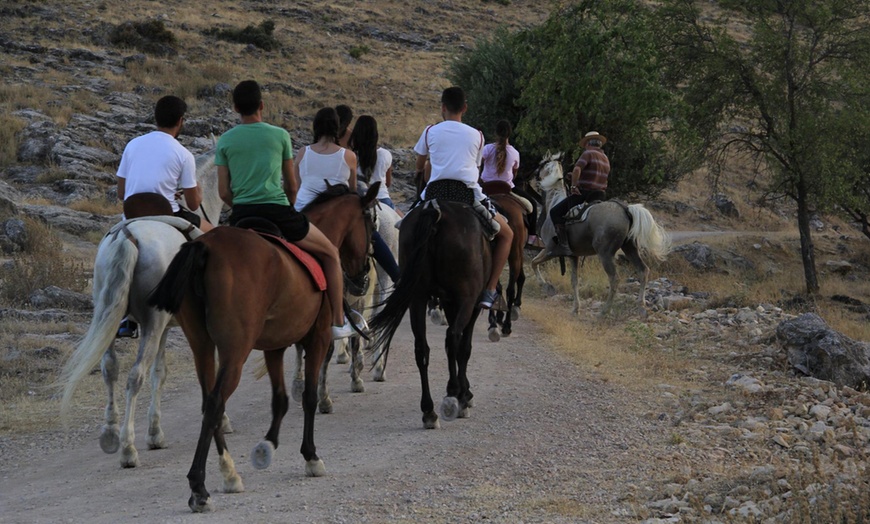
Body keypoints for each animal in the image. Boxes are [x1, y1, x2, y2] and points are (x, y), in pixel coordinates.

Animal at [59, 149, 225, 468]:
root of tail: (128, 235)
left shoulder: (164, 329)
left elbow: (159, 373)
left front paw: (155, 433)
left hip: (114, 316)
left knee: (110, 368)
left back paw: (111, 435)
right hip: (153, 323)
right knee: (134, 376)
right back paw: (127, 448)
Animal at [147, 184, 378, 512]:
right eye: (370, 223)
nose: (362, 279)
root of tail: (205, 247)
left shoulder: (275, 346)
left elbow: (279, 399)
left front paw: (267, 446)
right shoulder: (318, 339)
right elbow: (308, 397)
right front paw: (310, 456)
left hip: (201, 346)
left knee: (209, 403)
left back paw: (229, 474)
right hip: (235, 350)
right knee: (216, 402)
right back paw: (199, 486)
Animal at [366, 193, 490, 430]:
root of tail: (435, 212)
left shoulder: (449, 303)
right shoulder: (470, 303)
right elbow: (464, 348)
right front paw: (464, 394)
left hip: (417, 296)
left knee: (422, 348)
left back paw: (429, 411)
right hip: (465, 297)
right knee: (453, 338)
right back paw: (453, 397)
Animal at [528, 152, 672, 316]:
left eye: (540, 165)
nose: (532, 175)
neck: (554, 202)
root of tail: (625, 209)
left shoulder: (550, 250)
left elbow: (533, 263)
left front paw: (546, 286)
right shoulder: (573, 256)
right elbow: (574, 281)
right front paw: (576, 308)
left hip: (605, 254)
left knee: (615, 279)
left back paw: (605, 310)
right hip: (630, 248)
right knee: (643, 271)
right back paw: (641, 306)